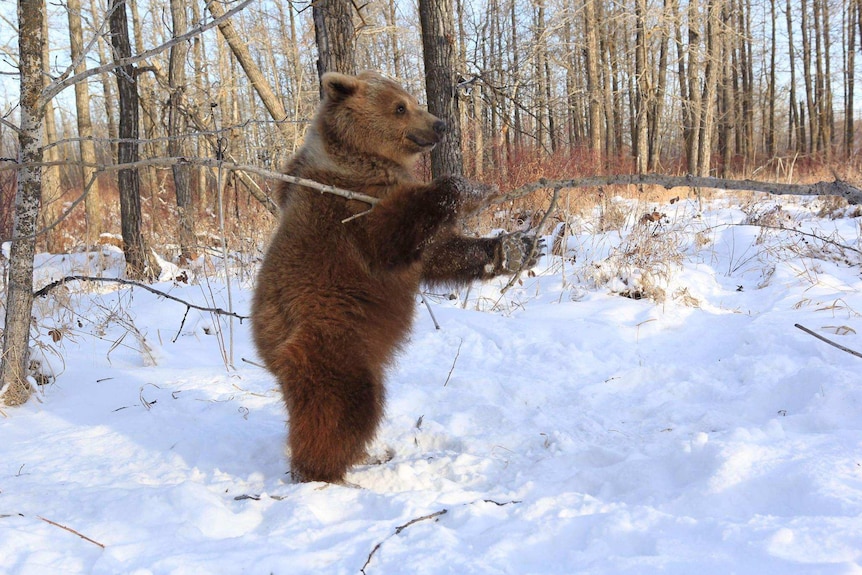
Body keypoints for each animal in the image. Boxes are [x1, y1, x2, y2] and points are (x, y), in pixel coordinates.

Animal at [250, 72, 544, 486]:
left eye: (413, 99)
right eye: (400, 107)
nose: (439, 124)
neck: (364, 163)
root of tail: (264, 340)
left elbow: (437, 254)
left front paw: (518, 246)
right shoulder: (349, 212)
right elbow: (392, 235)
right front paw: (470, 187)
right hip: (332, 337)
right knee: (343, 404)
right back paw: (325, 472)